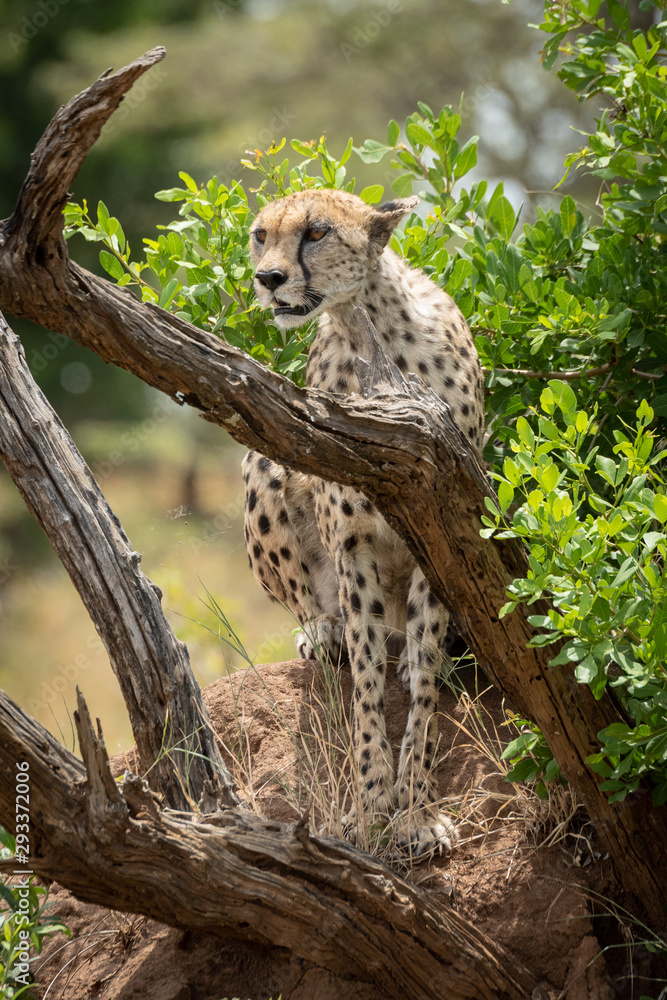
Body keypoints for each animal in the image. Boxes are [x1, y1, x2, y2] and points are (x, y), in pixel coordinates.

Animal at [242, 188, 485, 855]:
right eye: (260, 235)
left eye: (316, 233)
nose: (269, 279)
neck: (369, 326)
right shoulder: (353, 545)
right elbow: (367, 681)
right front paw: (372, 803)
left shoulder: (440, 533)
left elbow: (419, 685)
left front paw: (416, 808)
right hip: (265, 457)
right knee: (318, 607)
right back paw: (321, 630)